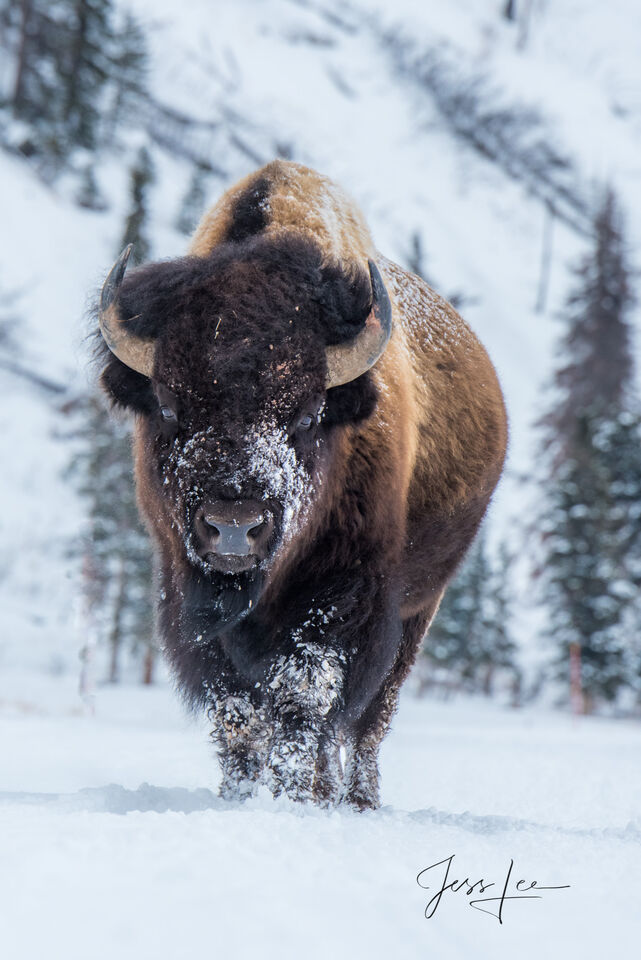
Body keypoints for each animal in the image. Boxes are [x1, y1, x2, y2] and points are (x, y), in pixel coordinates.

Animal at [95, 161, 504, 808]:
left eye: (309, 414)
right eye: (167, 404)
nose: (233, 526)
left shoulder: (344, 594)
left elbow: (303, 696)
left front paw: (291, 797)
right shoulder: (189, 594)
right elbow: (238, 710)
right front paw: (240, 794)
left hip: (420, 609)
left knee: (370, 720)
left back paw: (356, 798)